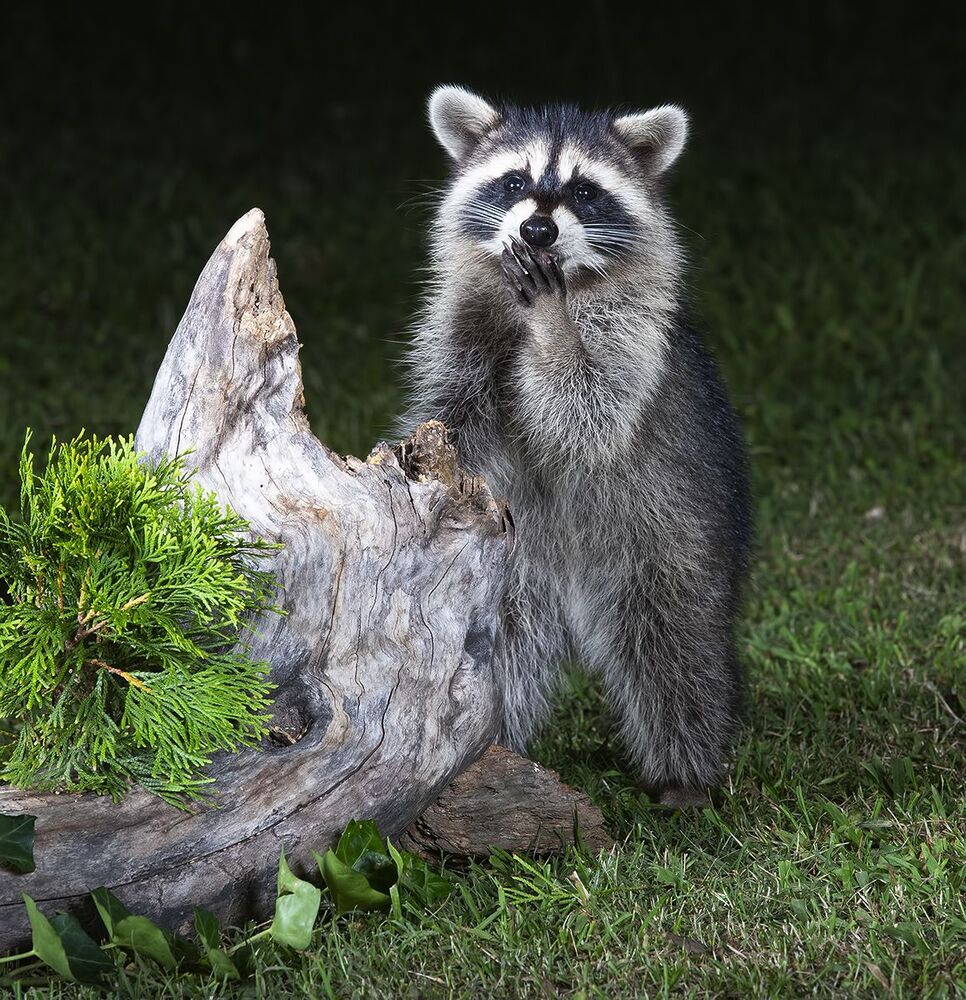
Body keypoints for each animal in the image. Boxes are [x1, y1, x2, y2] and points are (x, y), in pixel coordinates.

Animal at [398, 85, 753, 805]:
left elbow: (590, 412)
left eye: (585, 192)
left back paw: (687, 772)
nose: (538, 230)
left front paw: (556, 332)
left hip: (672, 535)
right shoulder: (460, 324)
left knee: (678, 648)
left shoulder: (635, 331)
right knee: (495, 652)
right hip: (511, 569)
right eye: (514, 182)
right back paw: (486, 757)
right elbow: (456, 416)